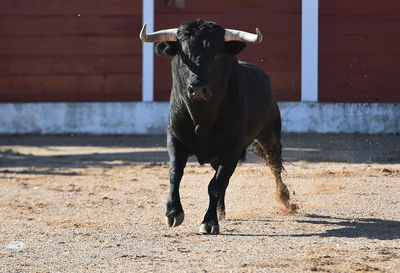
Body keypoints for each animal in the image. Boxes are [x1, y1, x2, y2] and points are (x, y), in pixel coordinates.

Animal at [140, 18, 294, 234]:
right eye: (183, 55)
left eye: (216, 55)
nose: (197, 89)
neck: (202, 117)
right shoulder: (175, 137)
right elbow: (175, 173)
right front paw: (173, 213)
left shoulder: (232, 146)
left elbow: (215, 184)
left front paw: (209, 222)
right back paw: (221, 210)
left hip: (270, 134)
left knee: (273, 162)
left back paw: (284, 197)